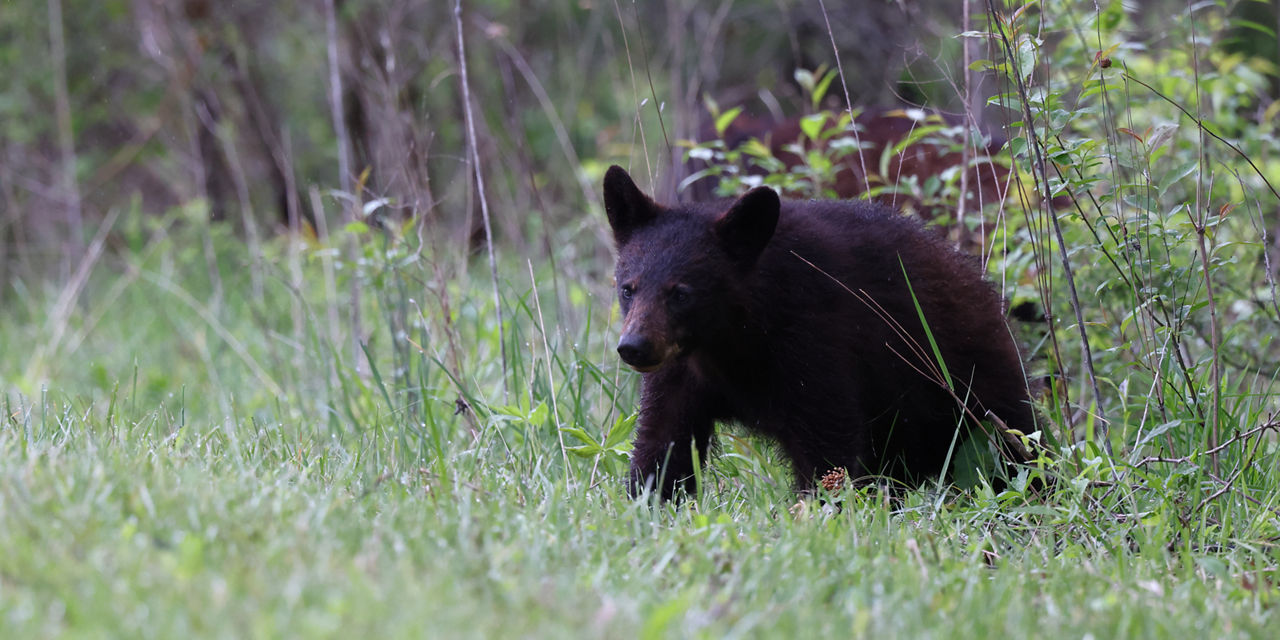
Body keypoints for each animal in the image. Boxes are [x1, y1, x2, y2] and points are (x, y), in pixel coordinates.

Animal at [601, 165, 1039, 499]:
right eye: (628, 287)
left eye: (681, 293)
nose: (634, 347)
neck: (731, 338)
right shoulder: (680, 371)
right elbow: (663, 443)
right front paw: (648, 505)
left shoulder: (815, 341)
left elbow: (827, 446)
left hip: (971, 383)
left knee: (1016, 447)